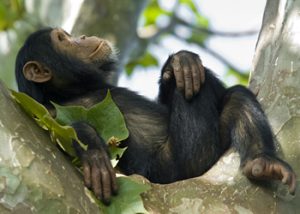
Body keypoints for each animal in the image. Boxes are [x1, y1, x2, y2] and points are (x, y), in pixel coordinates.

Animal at [14, 27, 296, 204]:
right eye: (62, 39)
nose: (81, 36)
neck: (74, 90)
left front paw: (180, 62)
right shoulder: (45, 111)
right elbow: (61, 129)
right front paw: (94, 155)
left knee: (235, 97)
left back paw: (262, 162)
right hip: (184, 161)